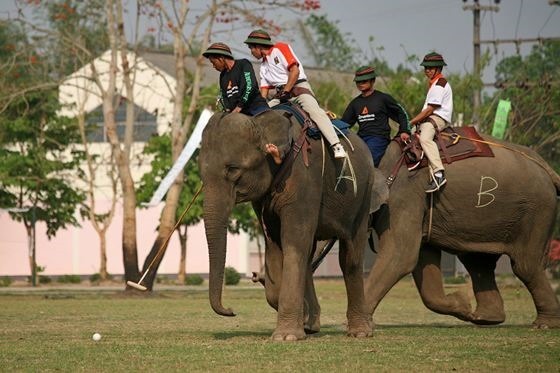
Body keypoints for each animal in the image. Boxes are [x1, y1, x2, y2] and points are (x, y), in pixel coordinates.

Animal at [197, 110, 380, 340]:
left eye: (233, 169)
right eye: (201, 174)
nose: (231, 311)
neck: (261, 120)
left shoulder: (303, 176)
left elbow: (294, 240)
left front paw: (287, 336)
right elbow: (275, 244)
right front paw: (302, 320)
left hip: (363, 196)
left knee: (350, 256)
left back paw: (360, 333)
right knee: (311, 254)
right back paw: (311, 324)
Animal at [366, 135, 560, 326]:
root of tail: (545, 165)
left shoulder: (404, 195)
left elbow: (400, 255)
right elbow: (423, 256)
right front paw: (462, 304)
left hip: (535, 211)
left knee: (525, 265)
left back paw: (544, 324)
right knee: (478, 262)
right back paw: (485, 318)